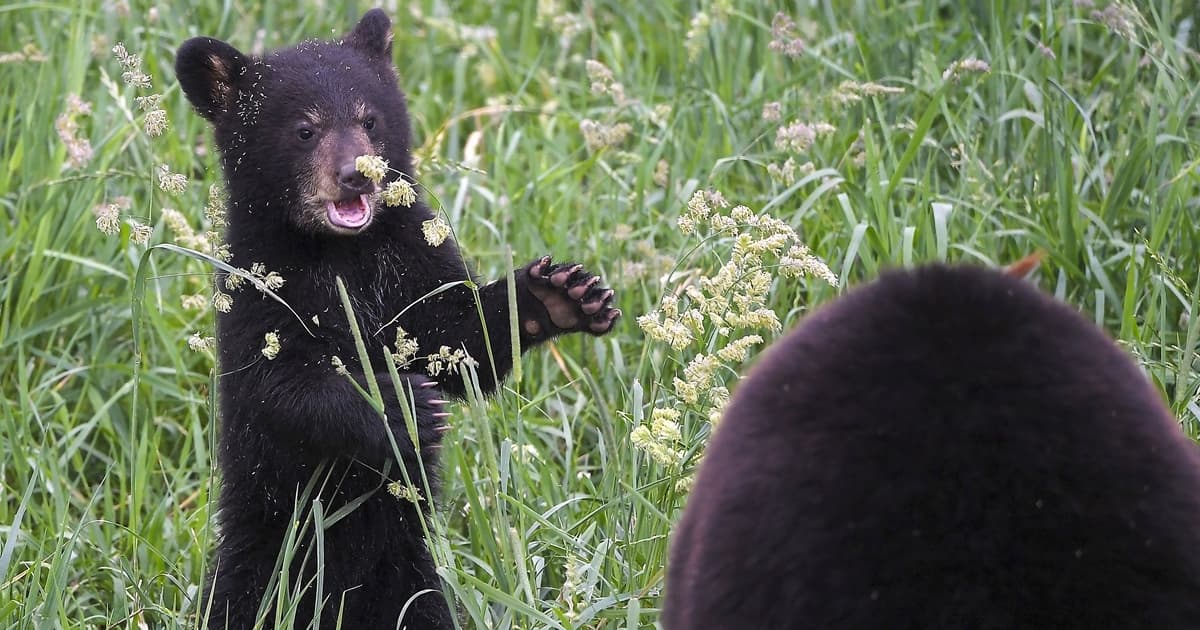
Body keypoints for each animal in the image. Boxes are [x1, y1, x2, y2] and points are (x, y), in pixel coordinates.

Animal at [175, 10, 619, 629]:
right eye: (305, 129)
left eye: (369, 118)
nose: (356, 175)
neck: (341, 255)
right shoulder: (256, 289)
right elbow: (279, 382)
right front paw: (400, 404)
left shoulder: (412, 261)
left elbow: (461, 344)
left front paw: (558, 295)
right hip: (261, 557)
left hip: (413, 577)